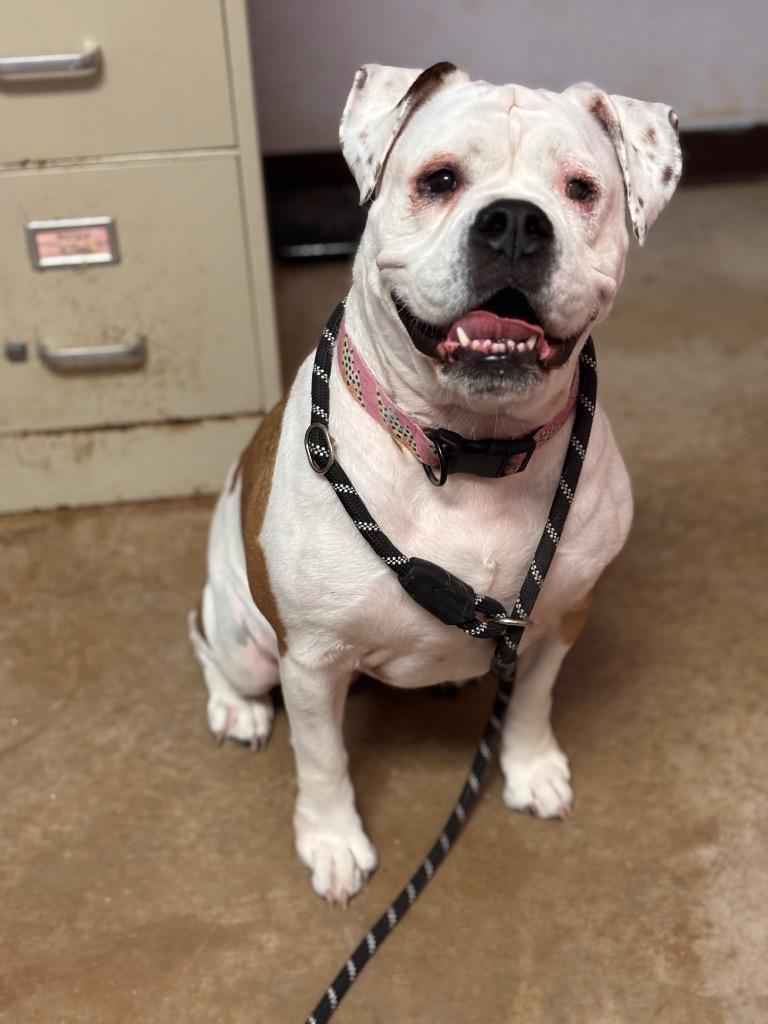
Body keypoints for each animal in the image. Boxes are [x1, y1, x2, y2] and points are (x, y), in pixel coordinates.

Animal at [190, 63, 681, 905]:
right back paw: (236, 708)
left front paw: (529, 767)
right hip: (243, 634)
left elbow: (533, 702)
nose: (515, 222)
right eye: (441, 179)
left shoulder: (561, 617)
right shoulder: (310, 660)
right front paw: (332, 841)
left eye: (580, 189)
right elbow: (322, 759)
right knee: (209, 648)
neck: (469, 450)